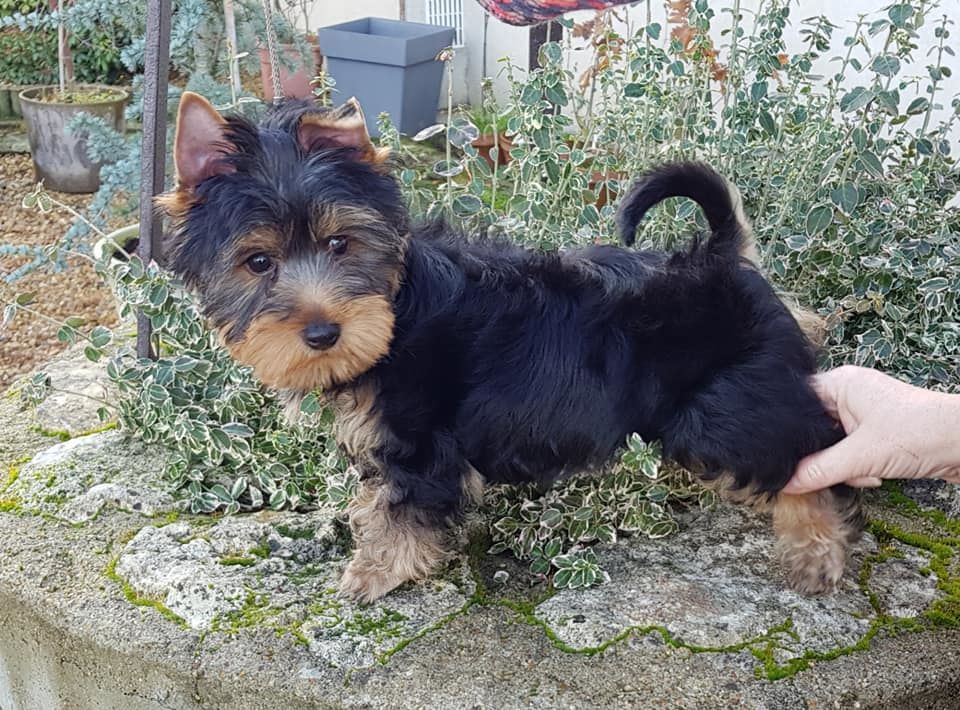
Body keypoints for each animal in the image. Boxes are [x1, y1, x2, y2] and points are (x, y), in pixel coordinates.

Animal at [159, 92, 863, 603]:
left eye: (341, 245)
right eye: (257, 262)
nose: (324, 333)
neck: (397, 307)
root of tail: (721, 259)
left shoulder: (419, 442)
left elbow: (399, 506)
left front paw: (374, 573)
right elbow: (380, 499)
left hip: (721, 414)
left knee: (809, 459)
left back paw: (816, 554)